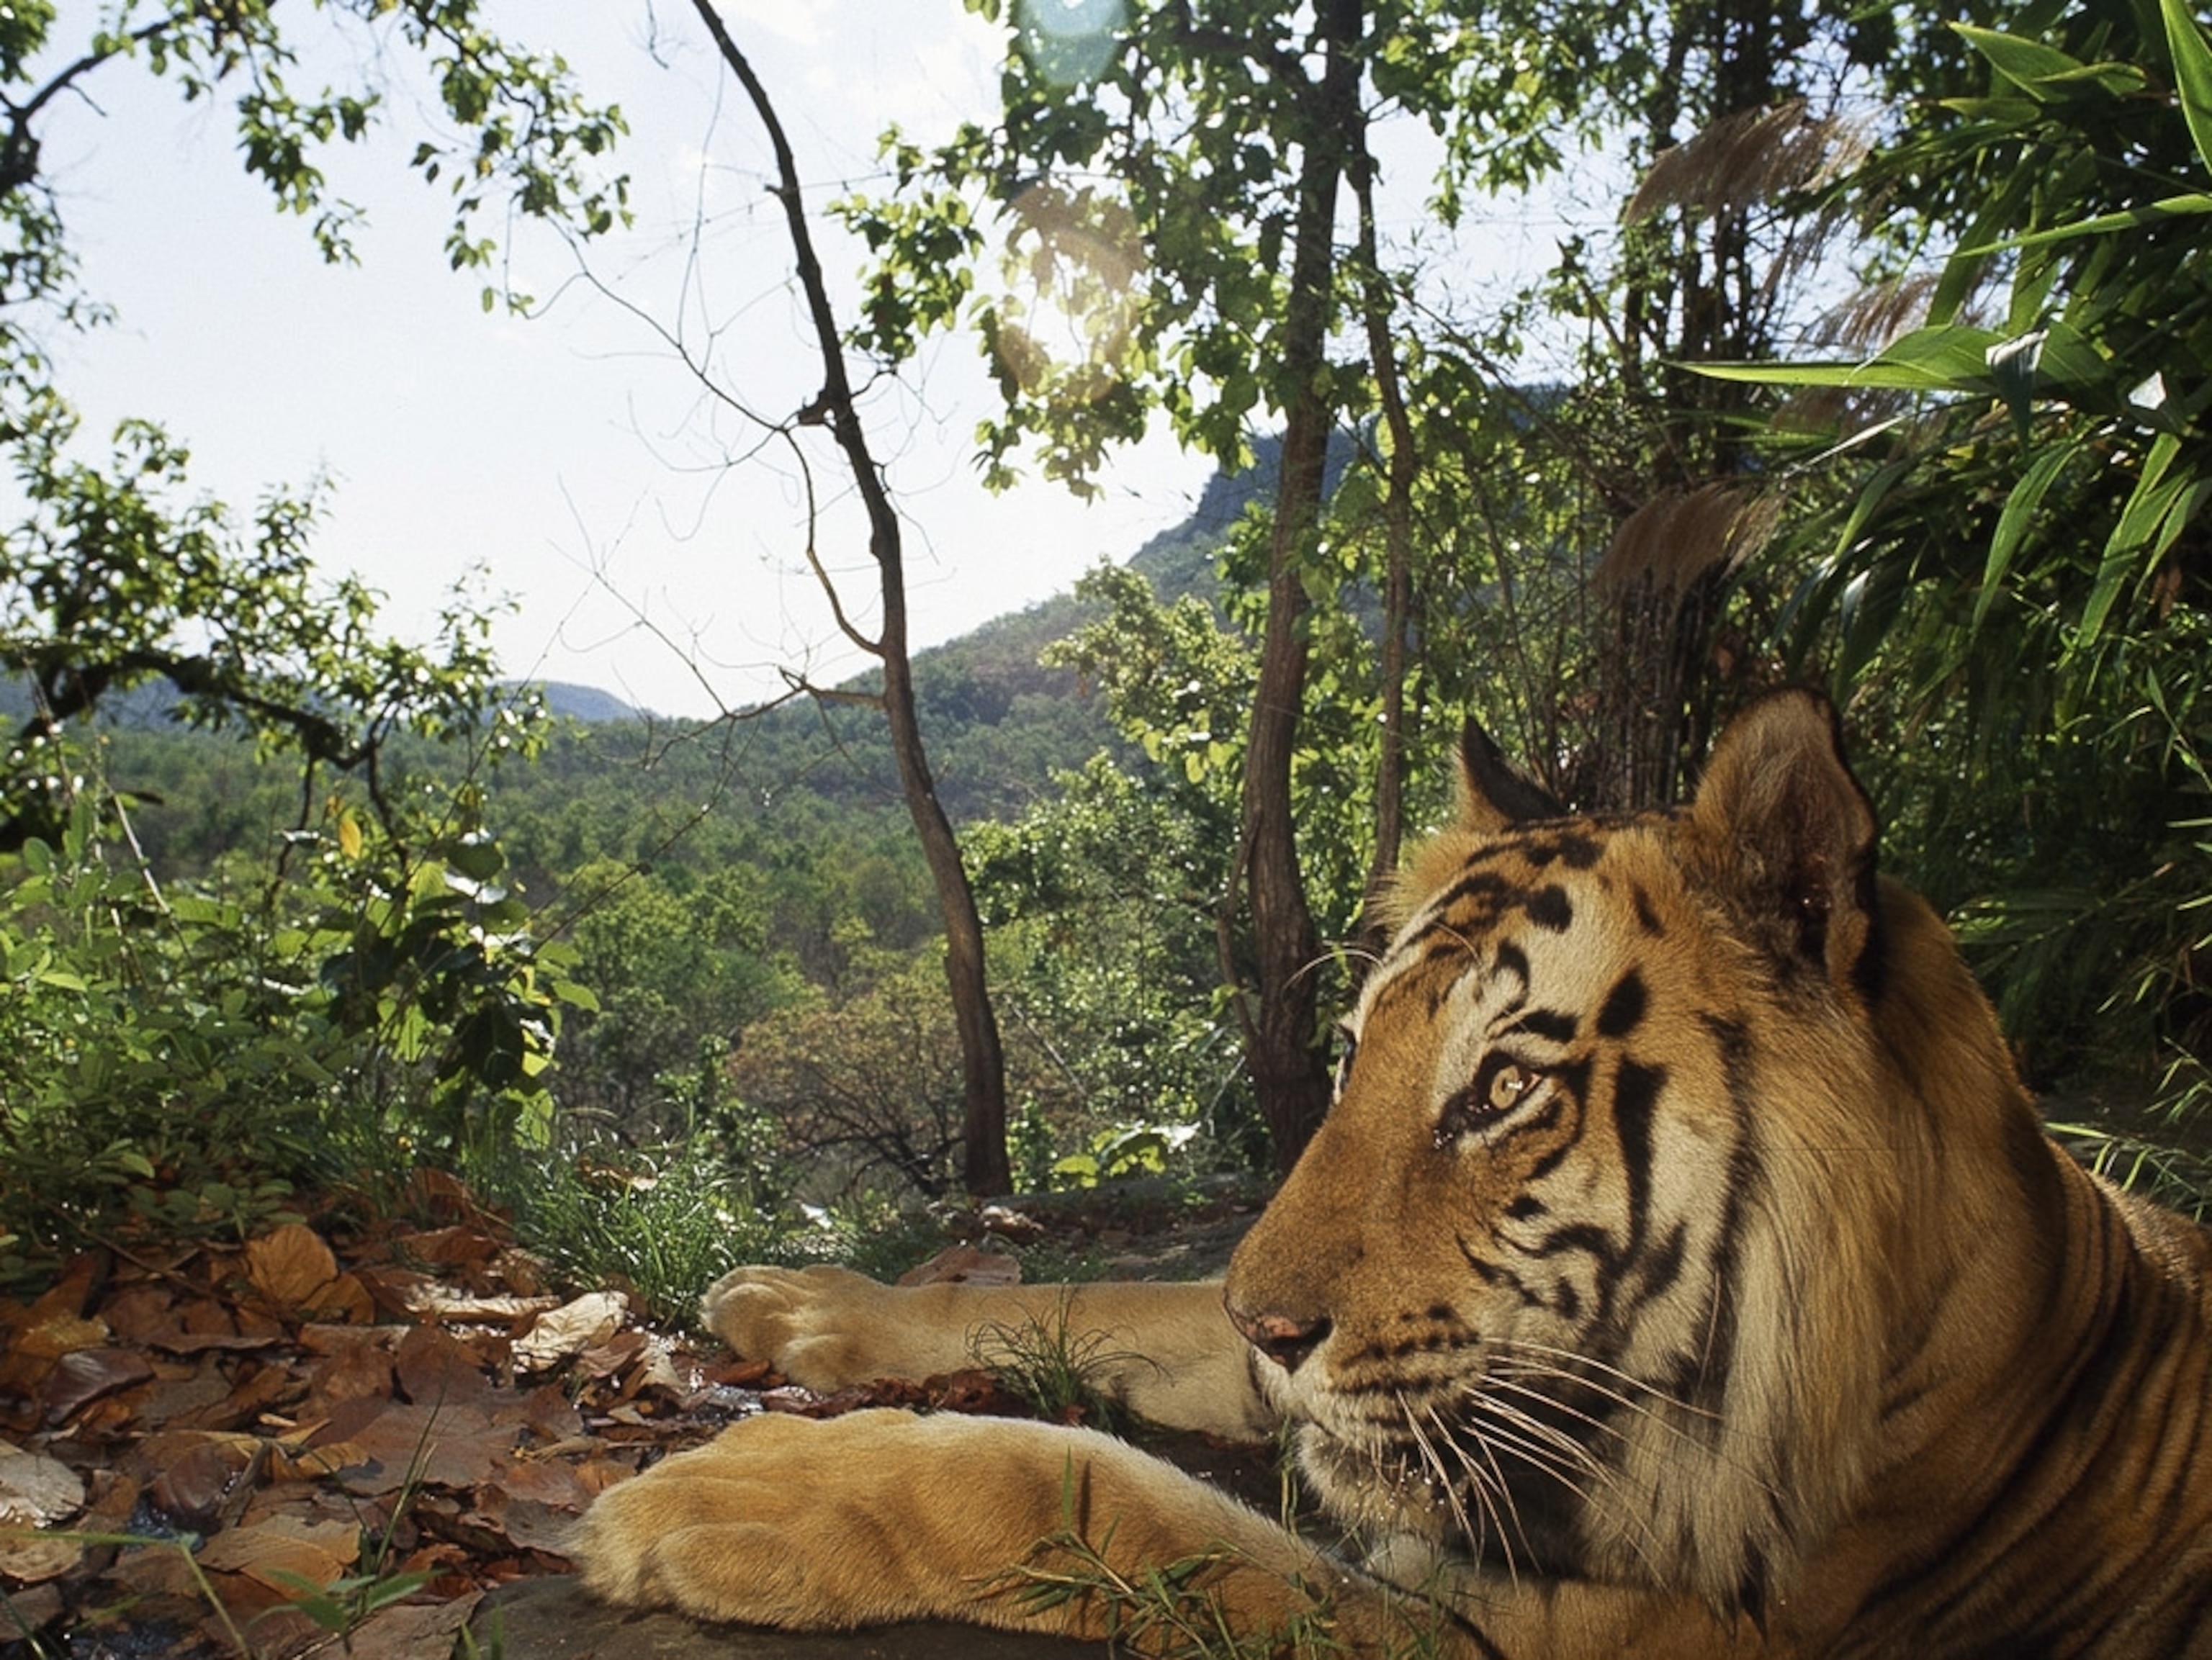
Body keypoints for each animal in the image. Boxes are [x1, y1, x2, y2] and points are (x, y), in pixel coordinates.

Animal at [572, 687, 2212, 1657]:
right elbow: (1112, 1295)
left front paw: (753, 1487)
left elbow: (1109, 1489)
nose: (1271, 1328)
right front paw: (802, 1304)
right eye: (1358, 1057)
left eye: (1501, 1088)